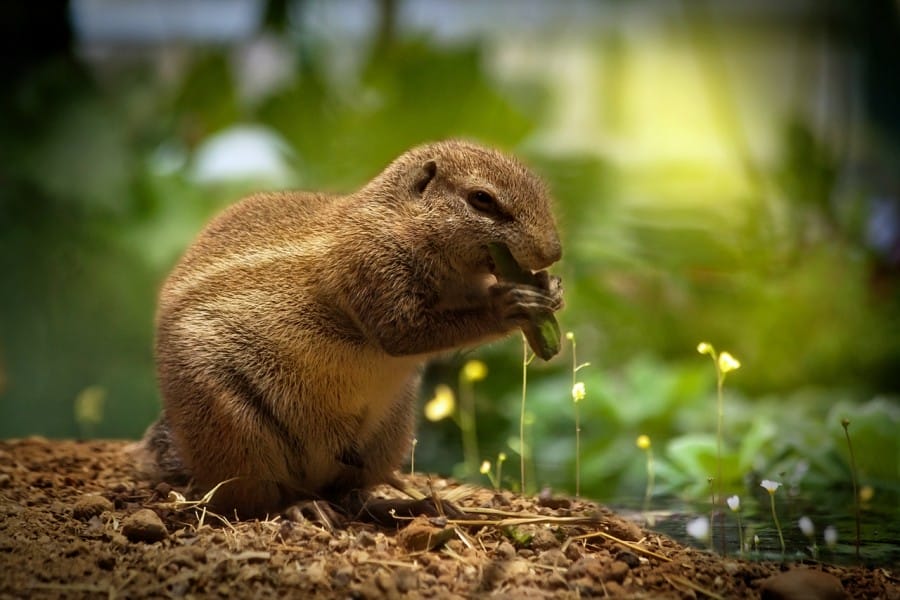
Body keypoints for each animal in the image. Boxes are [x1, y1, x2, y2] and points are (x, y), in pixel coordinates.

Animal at [134, 138, 564, 516]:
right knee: (254, 501)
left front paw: (549, 289)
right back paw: (300, 508)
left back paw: (410, 504)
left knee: (349, 493)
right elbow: (405, 333)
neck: (400, 224)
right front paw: (509, 305)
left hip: (387, 434)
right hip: (234, 426)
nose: (553, 252)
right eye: (482, 199)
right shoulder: (369, 268)